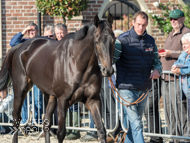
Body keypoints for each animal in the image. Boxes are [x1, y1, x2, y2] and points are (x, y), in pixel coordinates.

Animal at [0, 13, 115, 143]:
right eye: (96, 41)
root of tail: (20, 46)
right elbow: (61, 133)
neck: (77, 63)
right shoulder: (63, 100)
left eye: (113, 40)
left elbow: (101, 130)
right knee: (16, 120)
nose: (108, 70)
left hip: (49, 95)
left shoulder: (93, 100)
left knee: (46, 122)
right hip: (20, 90)